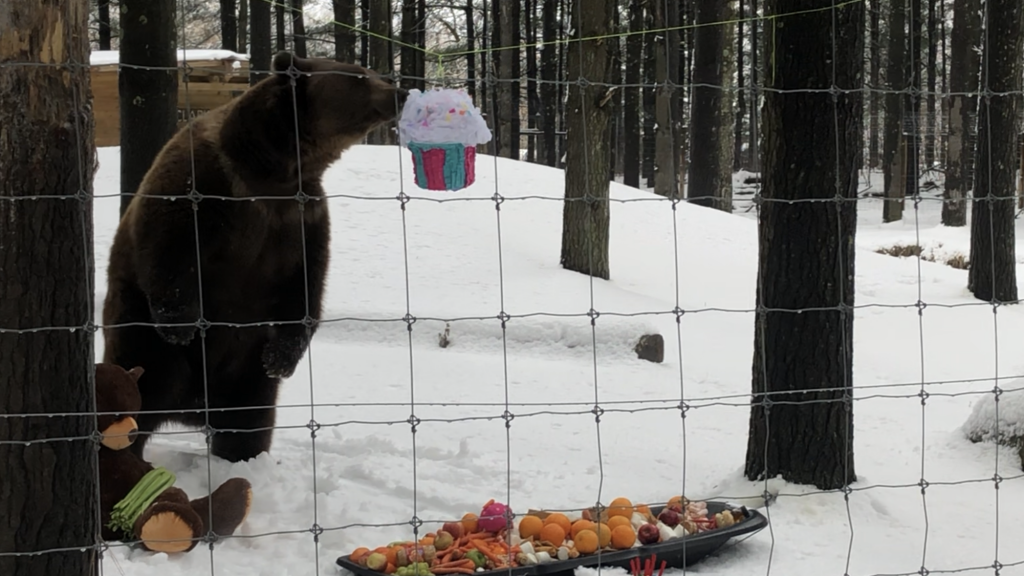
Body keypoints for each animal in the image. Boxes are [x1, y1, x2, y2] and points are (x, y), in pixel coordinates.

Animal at [101, 52, 408, 463]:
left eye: (372, 73)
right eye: (359, 76)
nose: (401, 92)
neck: (275, 168)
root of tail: (190, 409)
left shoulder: (302, 216)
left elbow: (307, 283)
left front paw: (282, 357)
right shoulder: (207, 182)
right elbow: (170, 240)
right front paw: (181, 324)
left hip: (242, 369)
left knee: (248, 419)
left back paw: (239, 456)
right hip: (140, 334)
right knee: (140, 388)